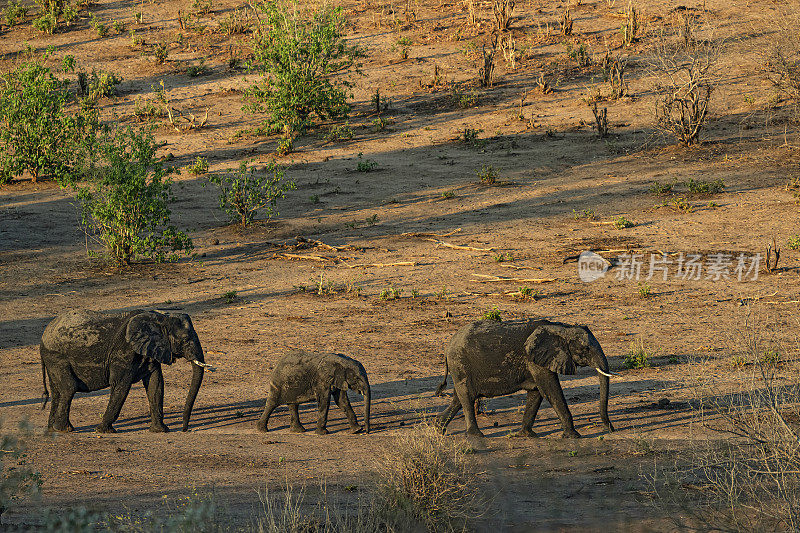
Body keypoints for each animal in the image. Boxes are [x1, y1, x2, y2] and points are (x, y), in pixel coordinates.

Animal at [41, 308, 211, 432]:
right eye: (185, 340)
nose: (184, 429)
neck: (160, 317)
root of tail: (45, 333)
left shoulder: (149, 352)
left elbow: (155, 385)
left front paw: (161, 430)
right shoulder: (123, 353)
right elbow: (121, 386)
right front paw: (103, 431)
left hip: (53, 360)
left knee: (57, 391)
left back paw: (52, 429)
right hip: (57, 357)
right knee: (69, 388)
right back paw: (64, 429)